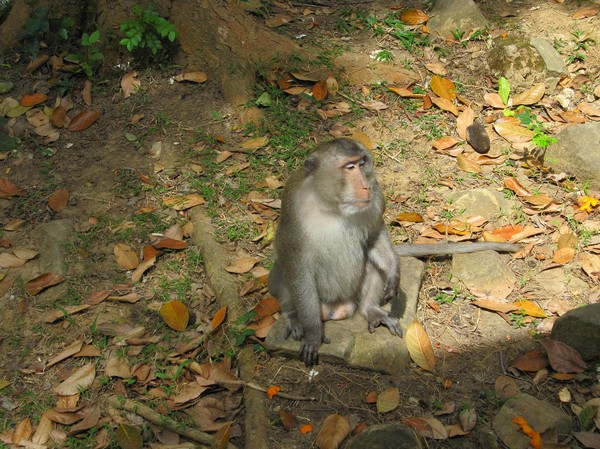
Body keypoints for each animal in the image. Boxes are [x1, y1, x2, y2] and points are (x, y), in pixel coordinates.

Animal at [270, 137, 516, 364]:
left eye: (362, 163)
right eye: (349, 167)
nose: (366, 185)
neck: (334, 205)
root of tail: (336, 310)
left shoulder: (376, 198)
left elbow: (375, 234)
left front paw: (394, 272)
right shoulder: (292, 208)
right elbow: (297, 266)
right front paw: (312, 333)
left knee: (372, 264)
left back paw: (371, 309)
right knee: (283, 270)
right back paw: (293, 317)